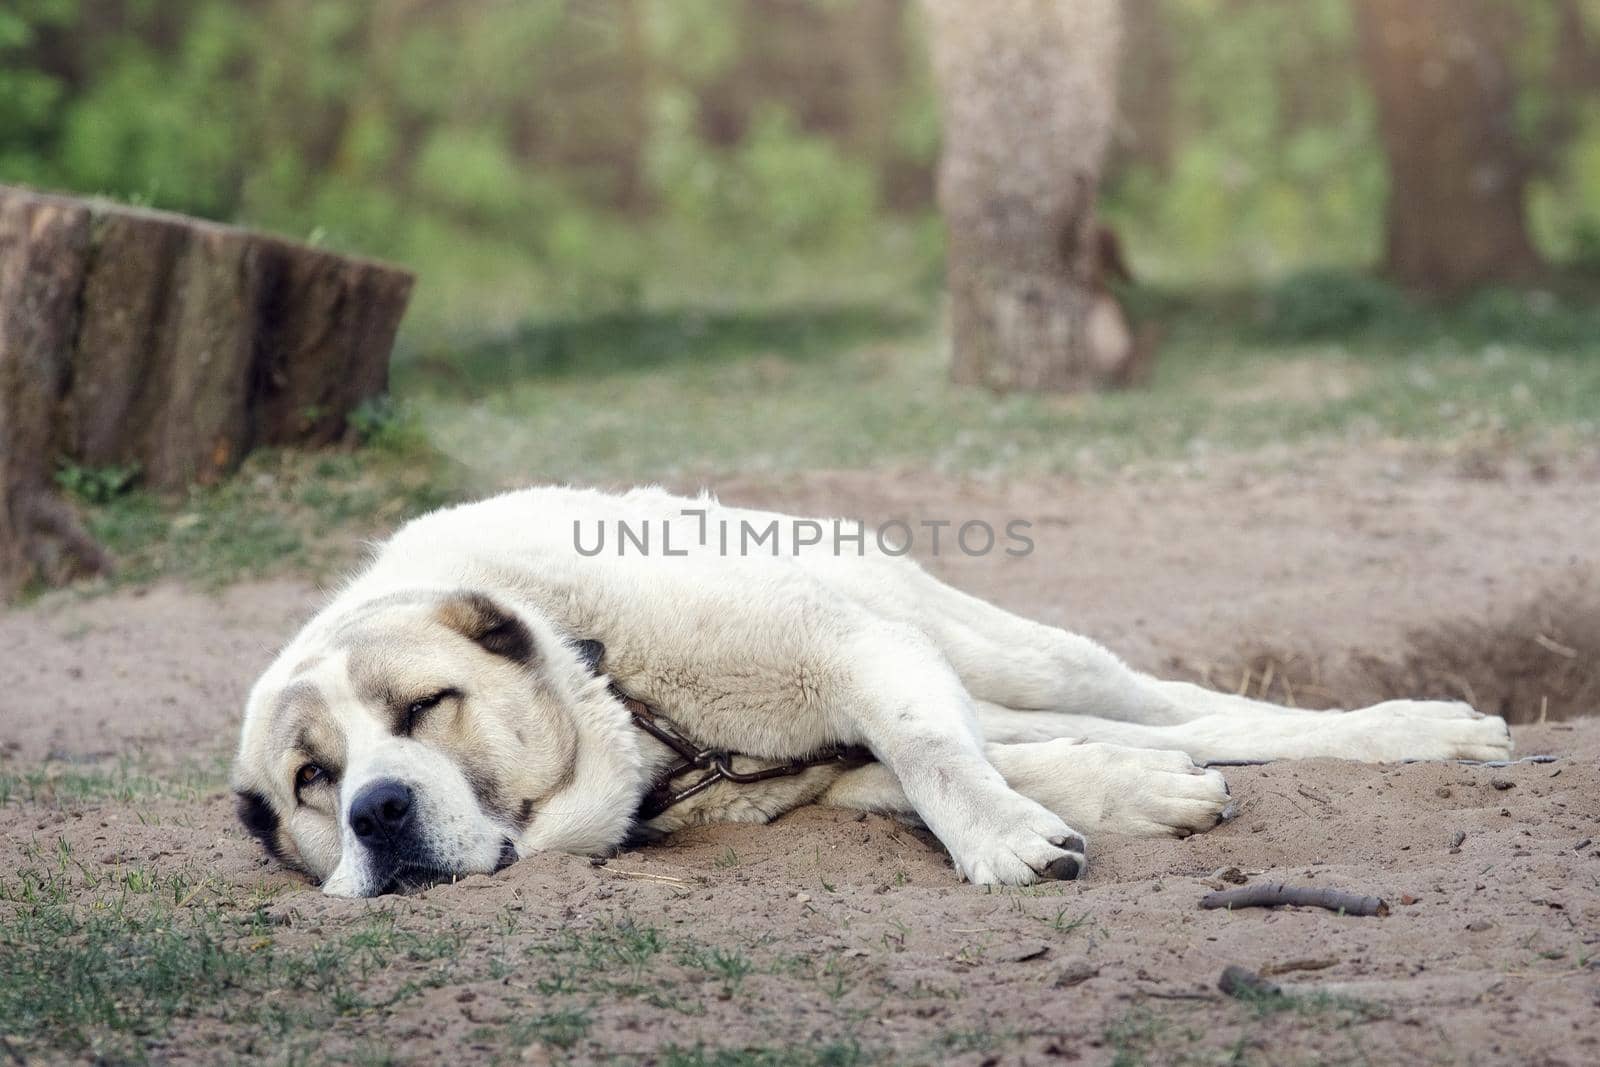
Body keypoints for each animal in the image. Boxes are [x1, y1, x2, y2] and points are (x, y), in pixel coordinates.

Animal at [233, 489, 1510, 895]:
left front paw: (1000, 841)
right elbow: (939, 769)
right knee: (1091, 732)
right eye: (313, 778)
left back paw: (1423, 731)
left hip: (1004, 648)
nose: (378, 811)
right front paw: (1116, 800)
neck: (620, 686)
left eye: (424, 706)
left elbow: (931, 755)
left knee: (1195, 703)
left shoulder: (848, 649)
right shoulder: (820, 764)